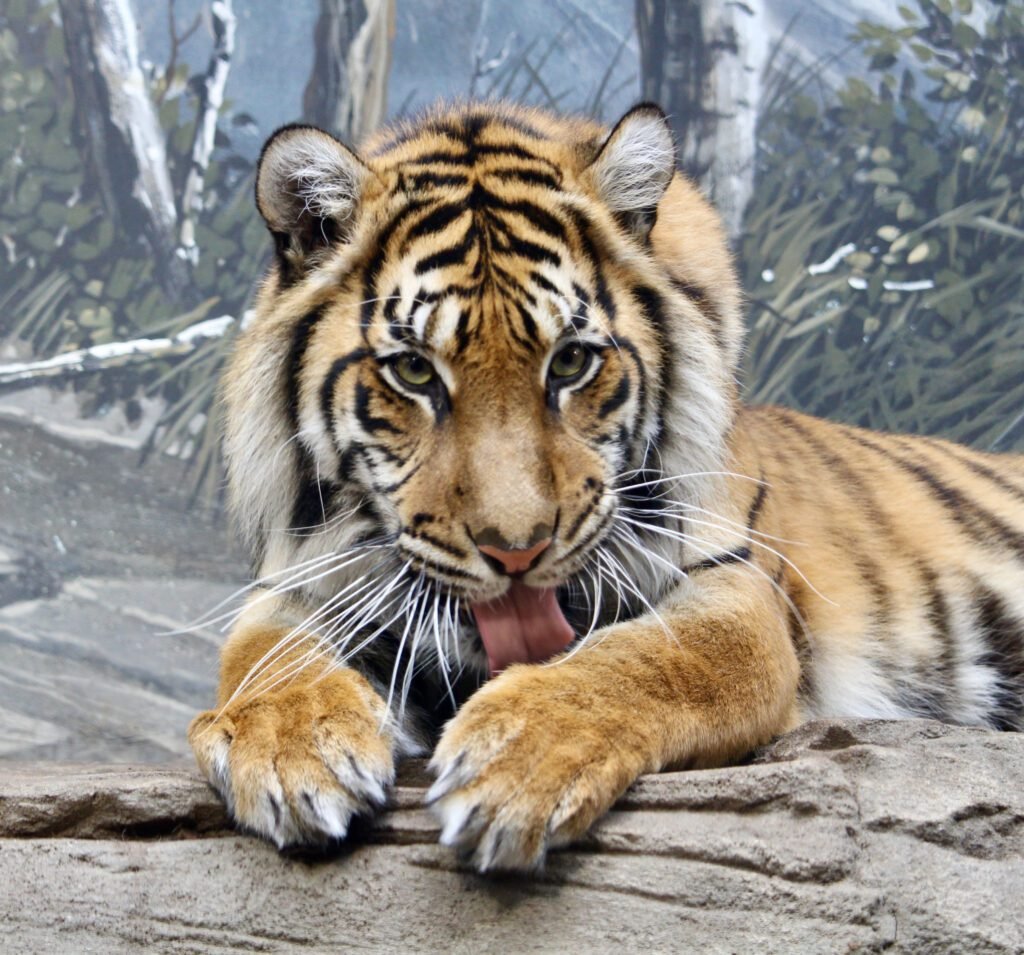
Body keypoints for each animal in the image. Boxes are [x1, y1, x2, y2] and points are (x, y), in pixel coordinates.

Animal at [188, 100, 1024, 872]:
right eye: (416, 372)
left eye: (570, 361)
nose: (517, 552)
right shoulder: (300, 579)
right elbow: (264, 652)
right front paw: (296, 749)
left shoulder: (737, 589)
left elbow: (645, 658)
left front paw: (514, 756)